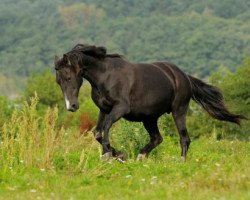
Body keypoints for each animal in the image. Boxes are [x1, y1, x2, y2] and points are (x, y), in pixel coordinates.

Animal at [53, 43, 246, 161]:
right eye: (58, 81)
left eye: (68, 76)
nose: (71, 106)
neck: (106, 75)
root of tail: (184, 76)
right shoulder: (104, 109)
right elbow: (98, 133)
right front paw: (116, 154)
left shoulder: (120, 108)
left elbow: (104, 129)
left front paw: (113, 154)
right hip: (149, 118)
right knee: (157, 138)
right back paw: (141, 156)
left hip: (179, 110)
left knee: (184, 138)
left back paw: (181, 161)